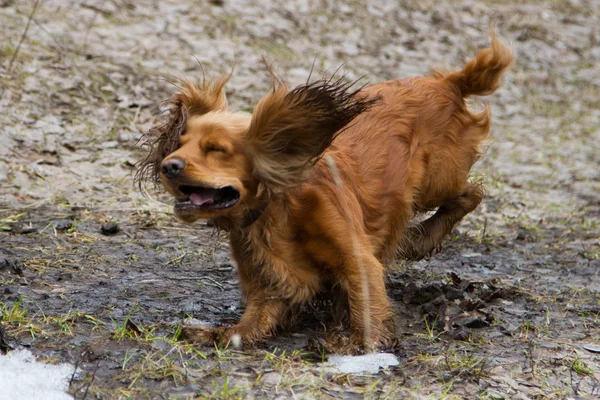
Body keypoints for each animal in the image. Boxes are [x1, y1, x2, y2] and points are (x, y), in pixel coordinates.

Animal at [136, 32, 510, 350]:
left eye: (216, 148)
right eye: (181, 142)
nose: (169, 165)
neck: (279, 207)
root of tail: (448, 82)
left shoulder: (356, 258)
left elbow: (365, 299)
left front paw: (357, 344)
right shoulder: (270, 279)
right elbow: (252, 322)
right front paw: (218, 332)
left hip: (438, 180)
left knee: (470, 193)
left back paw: (423, 236)